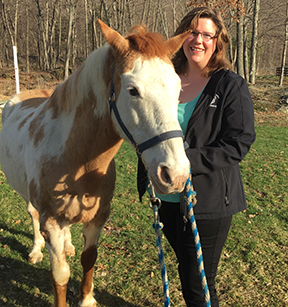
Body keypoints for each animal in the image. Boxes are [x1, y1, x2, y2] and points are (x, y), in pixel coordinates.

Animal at [0, 20, 191, 306]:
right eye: (133, 90)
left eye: (179, 89)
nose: (176, 175)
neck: (76, 159)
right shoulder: (51, 222)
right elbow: (60, 274)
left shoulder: (99, 216)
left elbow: (89, 259)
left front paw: (87, 299)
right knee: (32, 214)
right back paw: (36, 250)